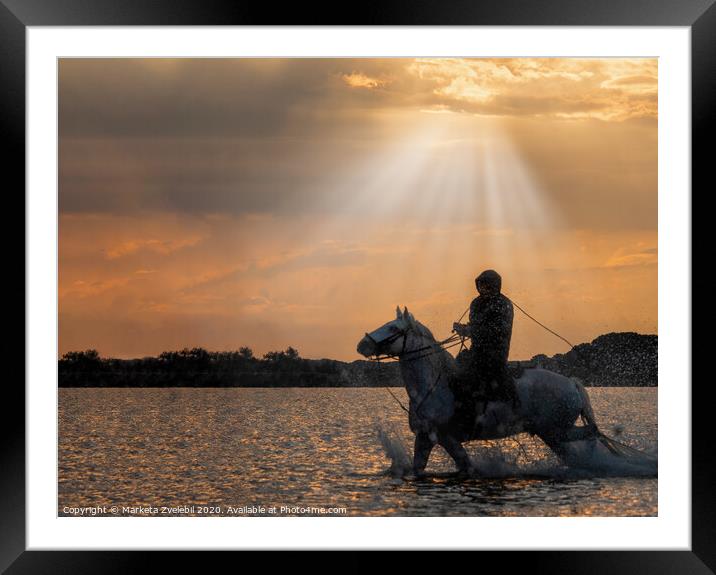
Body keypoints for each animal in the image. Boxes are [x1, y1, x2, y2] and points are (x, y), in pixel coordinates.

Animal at [358, 308, 620, 474]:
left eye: (393, 327)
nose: (362, 345)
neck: (433, 385)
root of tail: (572, 384)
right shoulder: (425, 437)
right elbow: (418, 468)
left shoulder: (446, 437)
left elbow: (467, 467)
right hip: (551, 434)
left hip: (556, 430)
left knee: (592, 433)